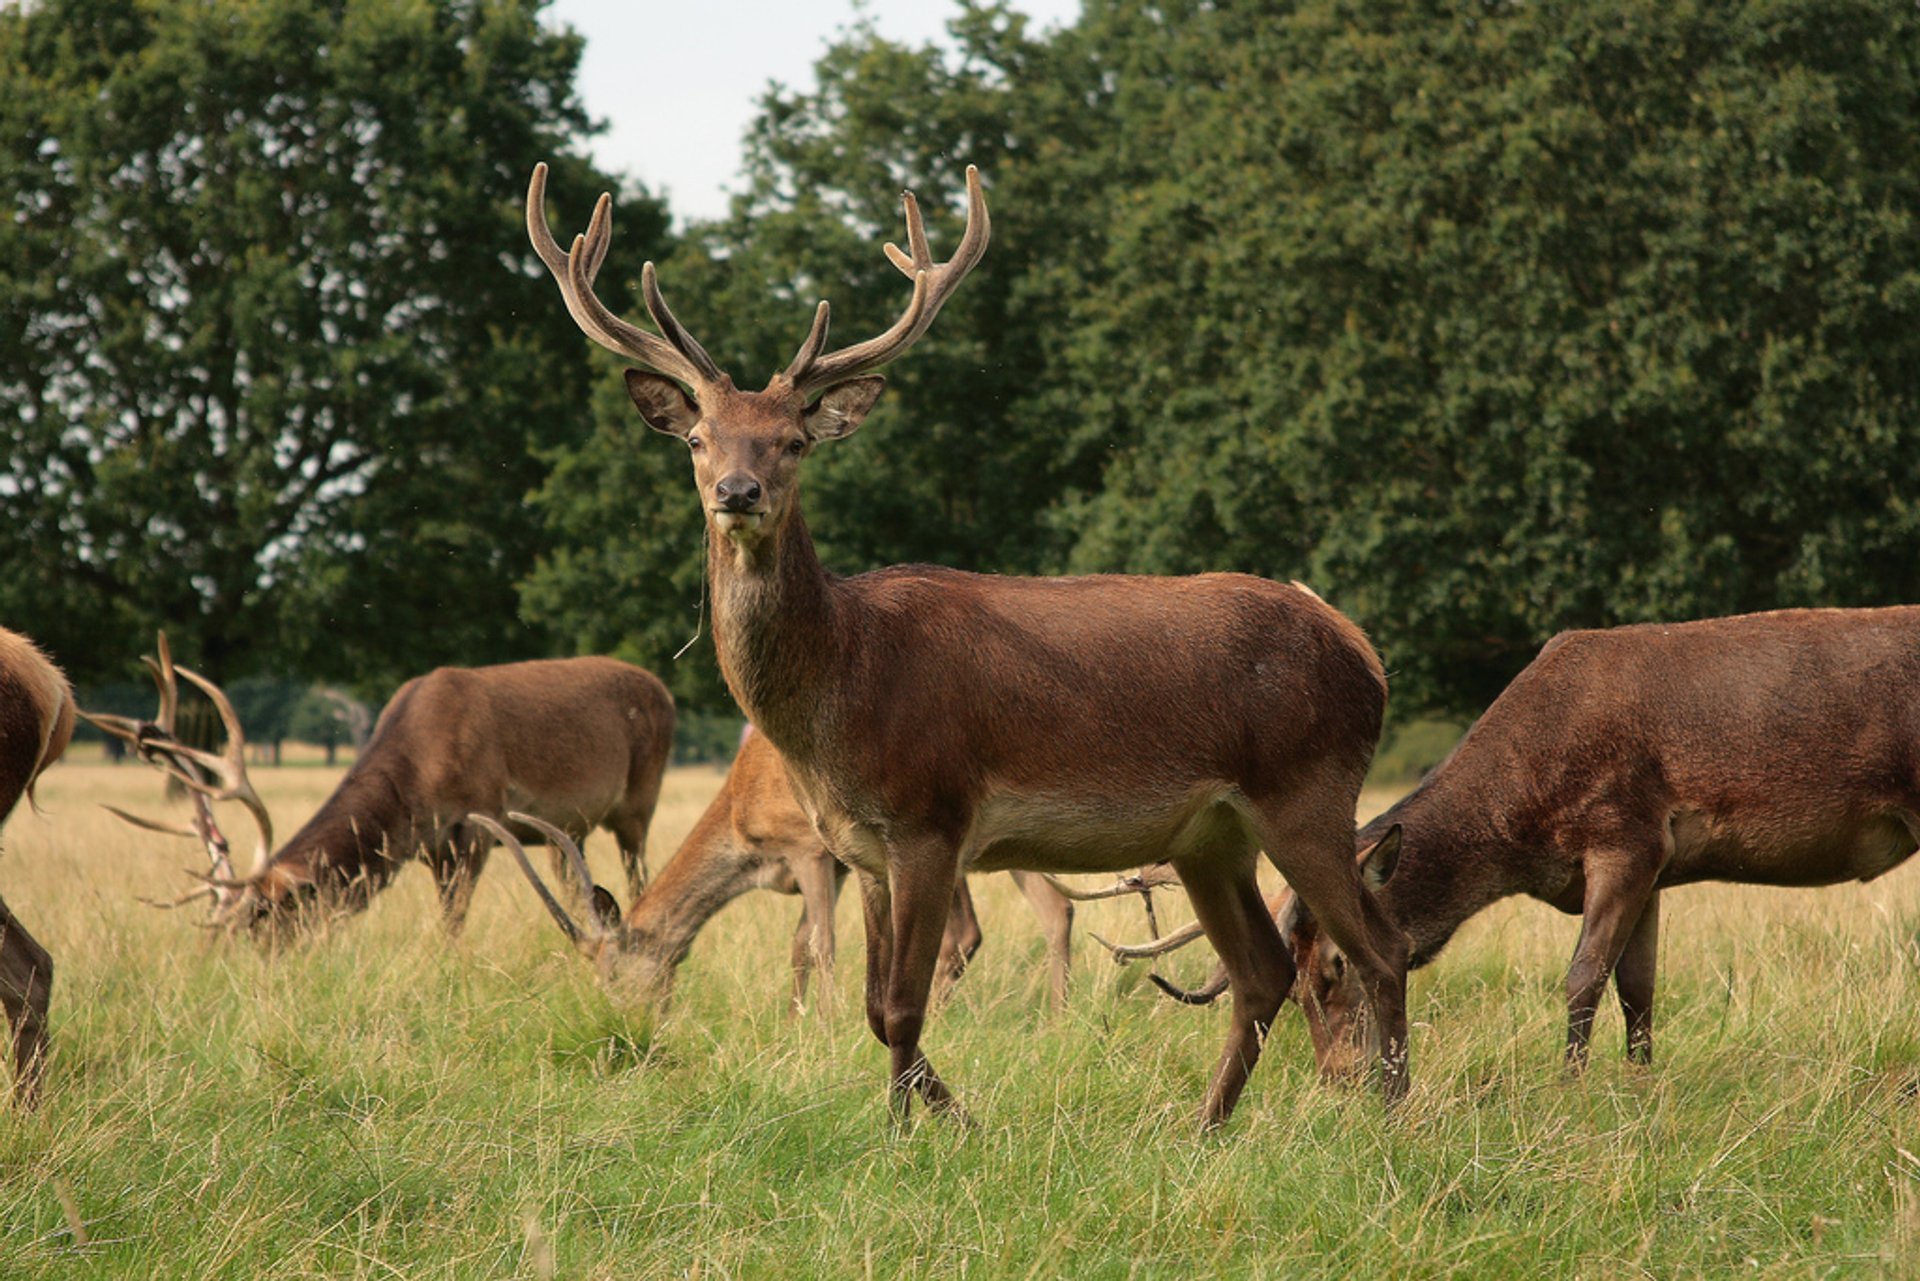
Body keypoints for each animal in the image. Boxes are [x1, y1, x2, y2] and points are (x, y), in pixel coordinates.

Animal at [90, 637, 675, 933]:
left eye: (260, 919)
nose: (232, 964)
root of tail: (664, 689)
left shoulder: (478, 820)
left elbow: (452, 922)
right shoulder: (431, 845)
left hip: (640, 800)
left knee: (638, 869)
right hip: (569, 829)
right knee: (578, 881)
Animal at [526, 155, 1413, 1129]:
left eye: (793, 441)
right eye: (696, 436)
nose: (737, 491)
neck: (842, 688)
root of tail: (1365, 654)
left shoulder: (931, 816)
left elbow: (901, 1003)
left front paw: (931, 1127)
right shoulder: (861, 848)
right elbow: (872, 1003)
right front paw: (925, 1120)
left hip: (1308, 787)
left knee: (1382, 945)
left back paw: (1389, 1117)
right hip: (1209, 833)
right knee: (1263, 968)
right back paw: (1200, 1129)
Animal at [1105, 610, 1920, 1083]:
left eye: (1336, 968)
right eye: (1299, 979)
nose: (1338, 1077)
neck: (1523, 830)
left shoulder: (1624, 830)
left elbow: (1584, 976)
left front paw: (1571, 1087)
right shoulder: (1657, 863)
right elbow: (1641, 987)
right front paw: (1641, 1085)